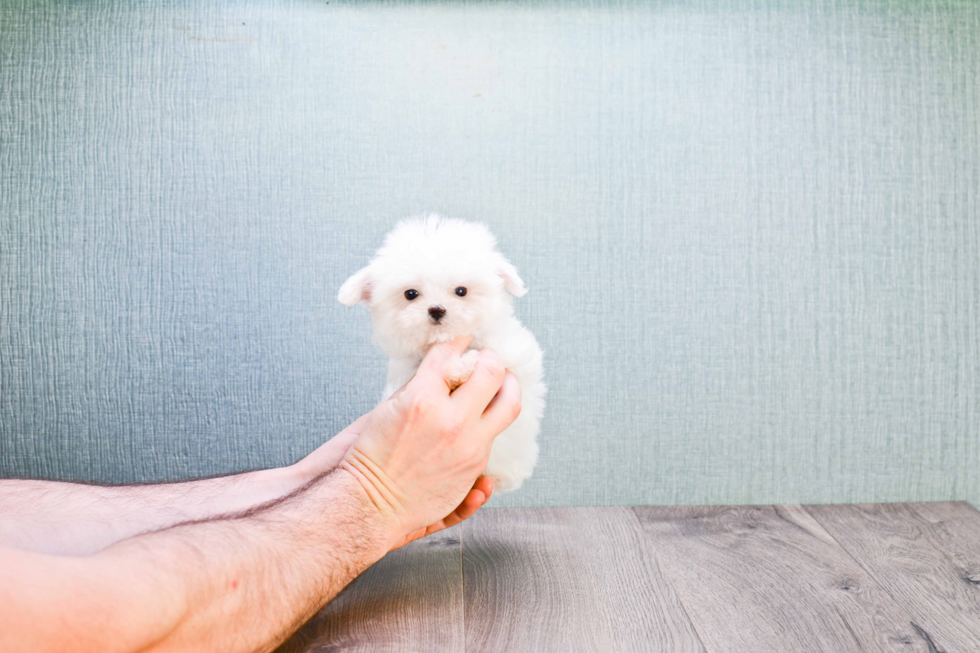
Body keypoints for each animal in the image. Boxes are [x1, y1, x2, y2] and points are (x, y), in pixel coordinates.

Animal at [340, 216, 548, 492]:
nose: (437, 309)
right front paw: (458, 367)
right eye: (411, 294)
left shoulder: (512, 356)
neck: (443, 342)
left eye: (461, 291)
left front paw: (464, 365)